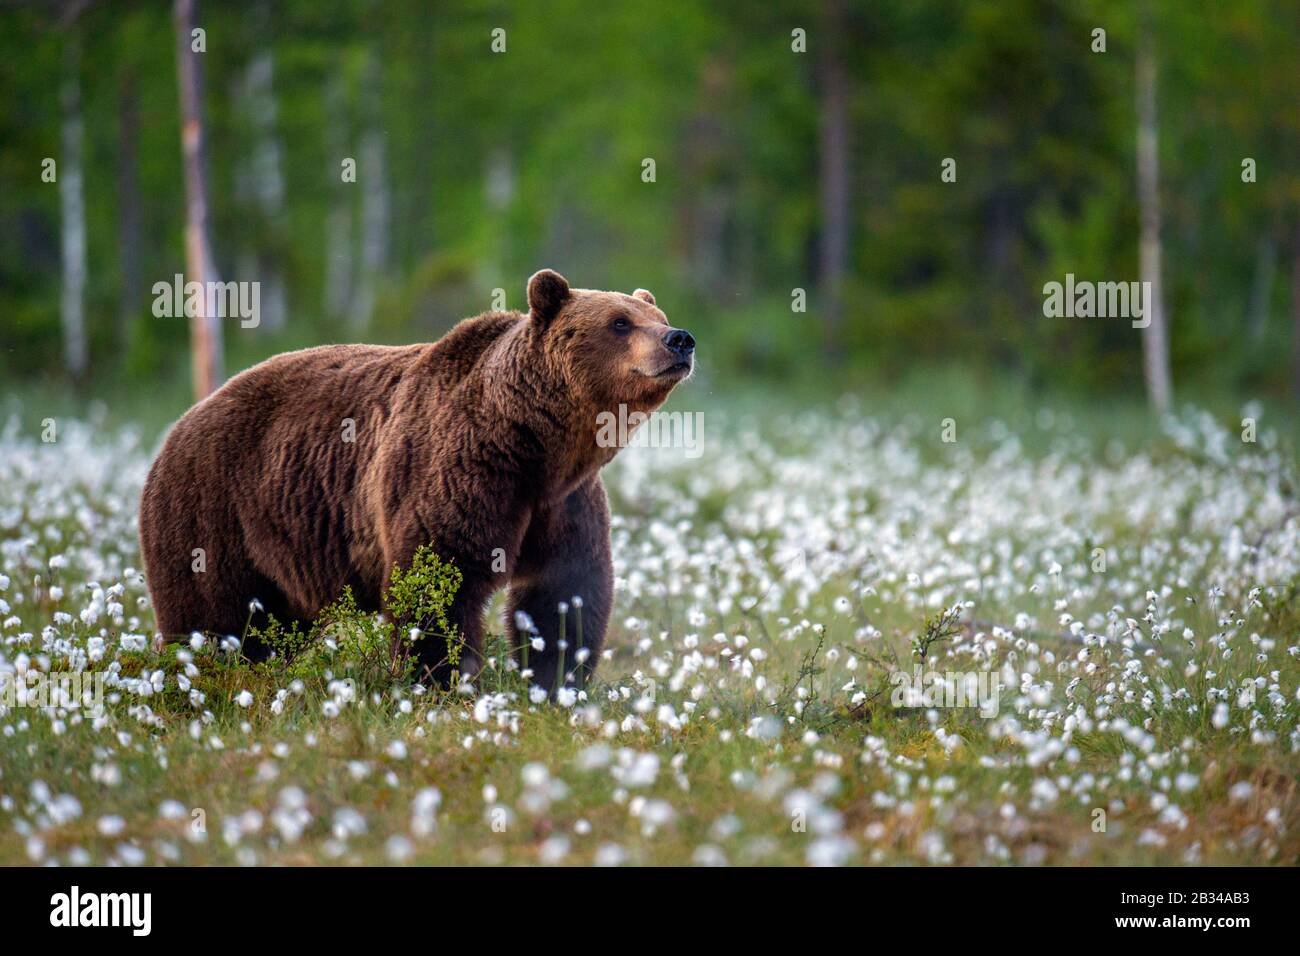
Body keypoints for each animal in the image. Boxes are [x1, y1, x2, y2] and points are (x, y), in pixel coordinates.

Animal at [137, 269, 696, 686]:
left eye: (658, 316)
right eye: (620, 322)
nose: (680, 338)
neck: (536, 444)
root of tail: (179, 424)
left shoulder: (565, 501)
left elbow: (565, 591)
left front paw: (555, 682)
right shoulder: (456, 470)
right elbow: (438, 578)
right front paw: (440, 680)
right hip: (214, 508)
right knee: (210, 614)